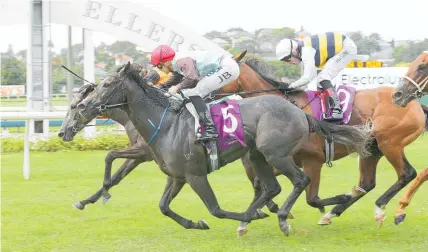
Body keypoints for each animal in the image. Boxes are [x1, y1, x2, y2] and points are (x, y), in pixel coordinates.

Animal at [71, 62, 372, 235]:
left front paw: (248, 216)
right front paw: (196, 224)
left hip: (276, 154)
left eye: (108, 84)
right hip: (257, 156)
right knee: (272, 187)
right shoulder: (177, 176)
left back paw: (283, 217)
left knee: (300, 180)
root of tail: (300, 112)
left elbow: (215, 209)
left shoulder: (195, 175)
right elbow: (164, 207)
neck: (166, 123)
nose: (84, 106)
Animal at [222, 52, 426, 233]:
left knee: (407, 173)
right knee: (367, 183)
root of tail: (414, 103)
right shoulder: (285, 159)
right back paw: (334, 213)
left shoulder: (313, 159)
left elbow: (311, 198)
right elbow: (259, 182)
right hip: (371, 150)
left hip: (390, 143)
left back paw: (379, 209)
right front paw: (253, 216)